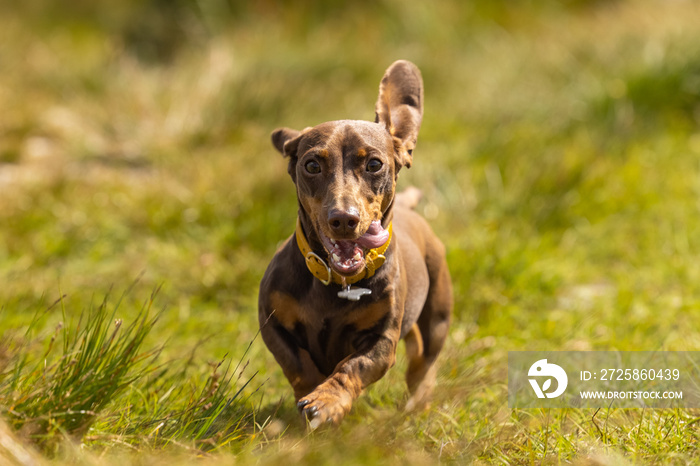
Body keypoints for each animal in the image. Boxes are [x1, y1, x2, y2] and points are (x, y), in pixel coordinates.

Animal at [258, 60, 454, 428]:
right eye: (311, 164)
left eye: (374, 163)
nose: (343, 219)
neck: (337, 283)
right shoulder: (272, 323)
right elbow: (298, 364)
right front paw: (313, 394)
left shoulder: (381, 341)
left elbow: (351, 367)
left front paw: (326, 400)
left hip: (437, 314)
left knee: (424, 361)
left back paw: (418, 400)